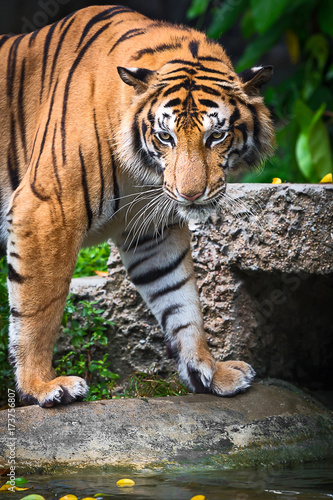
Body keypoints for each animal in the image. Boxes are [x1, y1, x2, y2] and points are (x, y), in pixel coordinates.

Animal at [0, 5, 274, 408]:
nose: (191, 195)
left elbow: (180, 299)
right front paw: (41, 386)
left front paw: (208, 371)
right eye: (165, 136)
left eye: (217, 135)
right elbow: (39, 308)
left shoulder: (152, 230)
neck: (142, 172)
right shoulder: (47, 209)